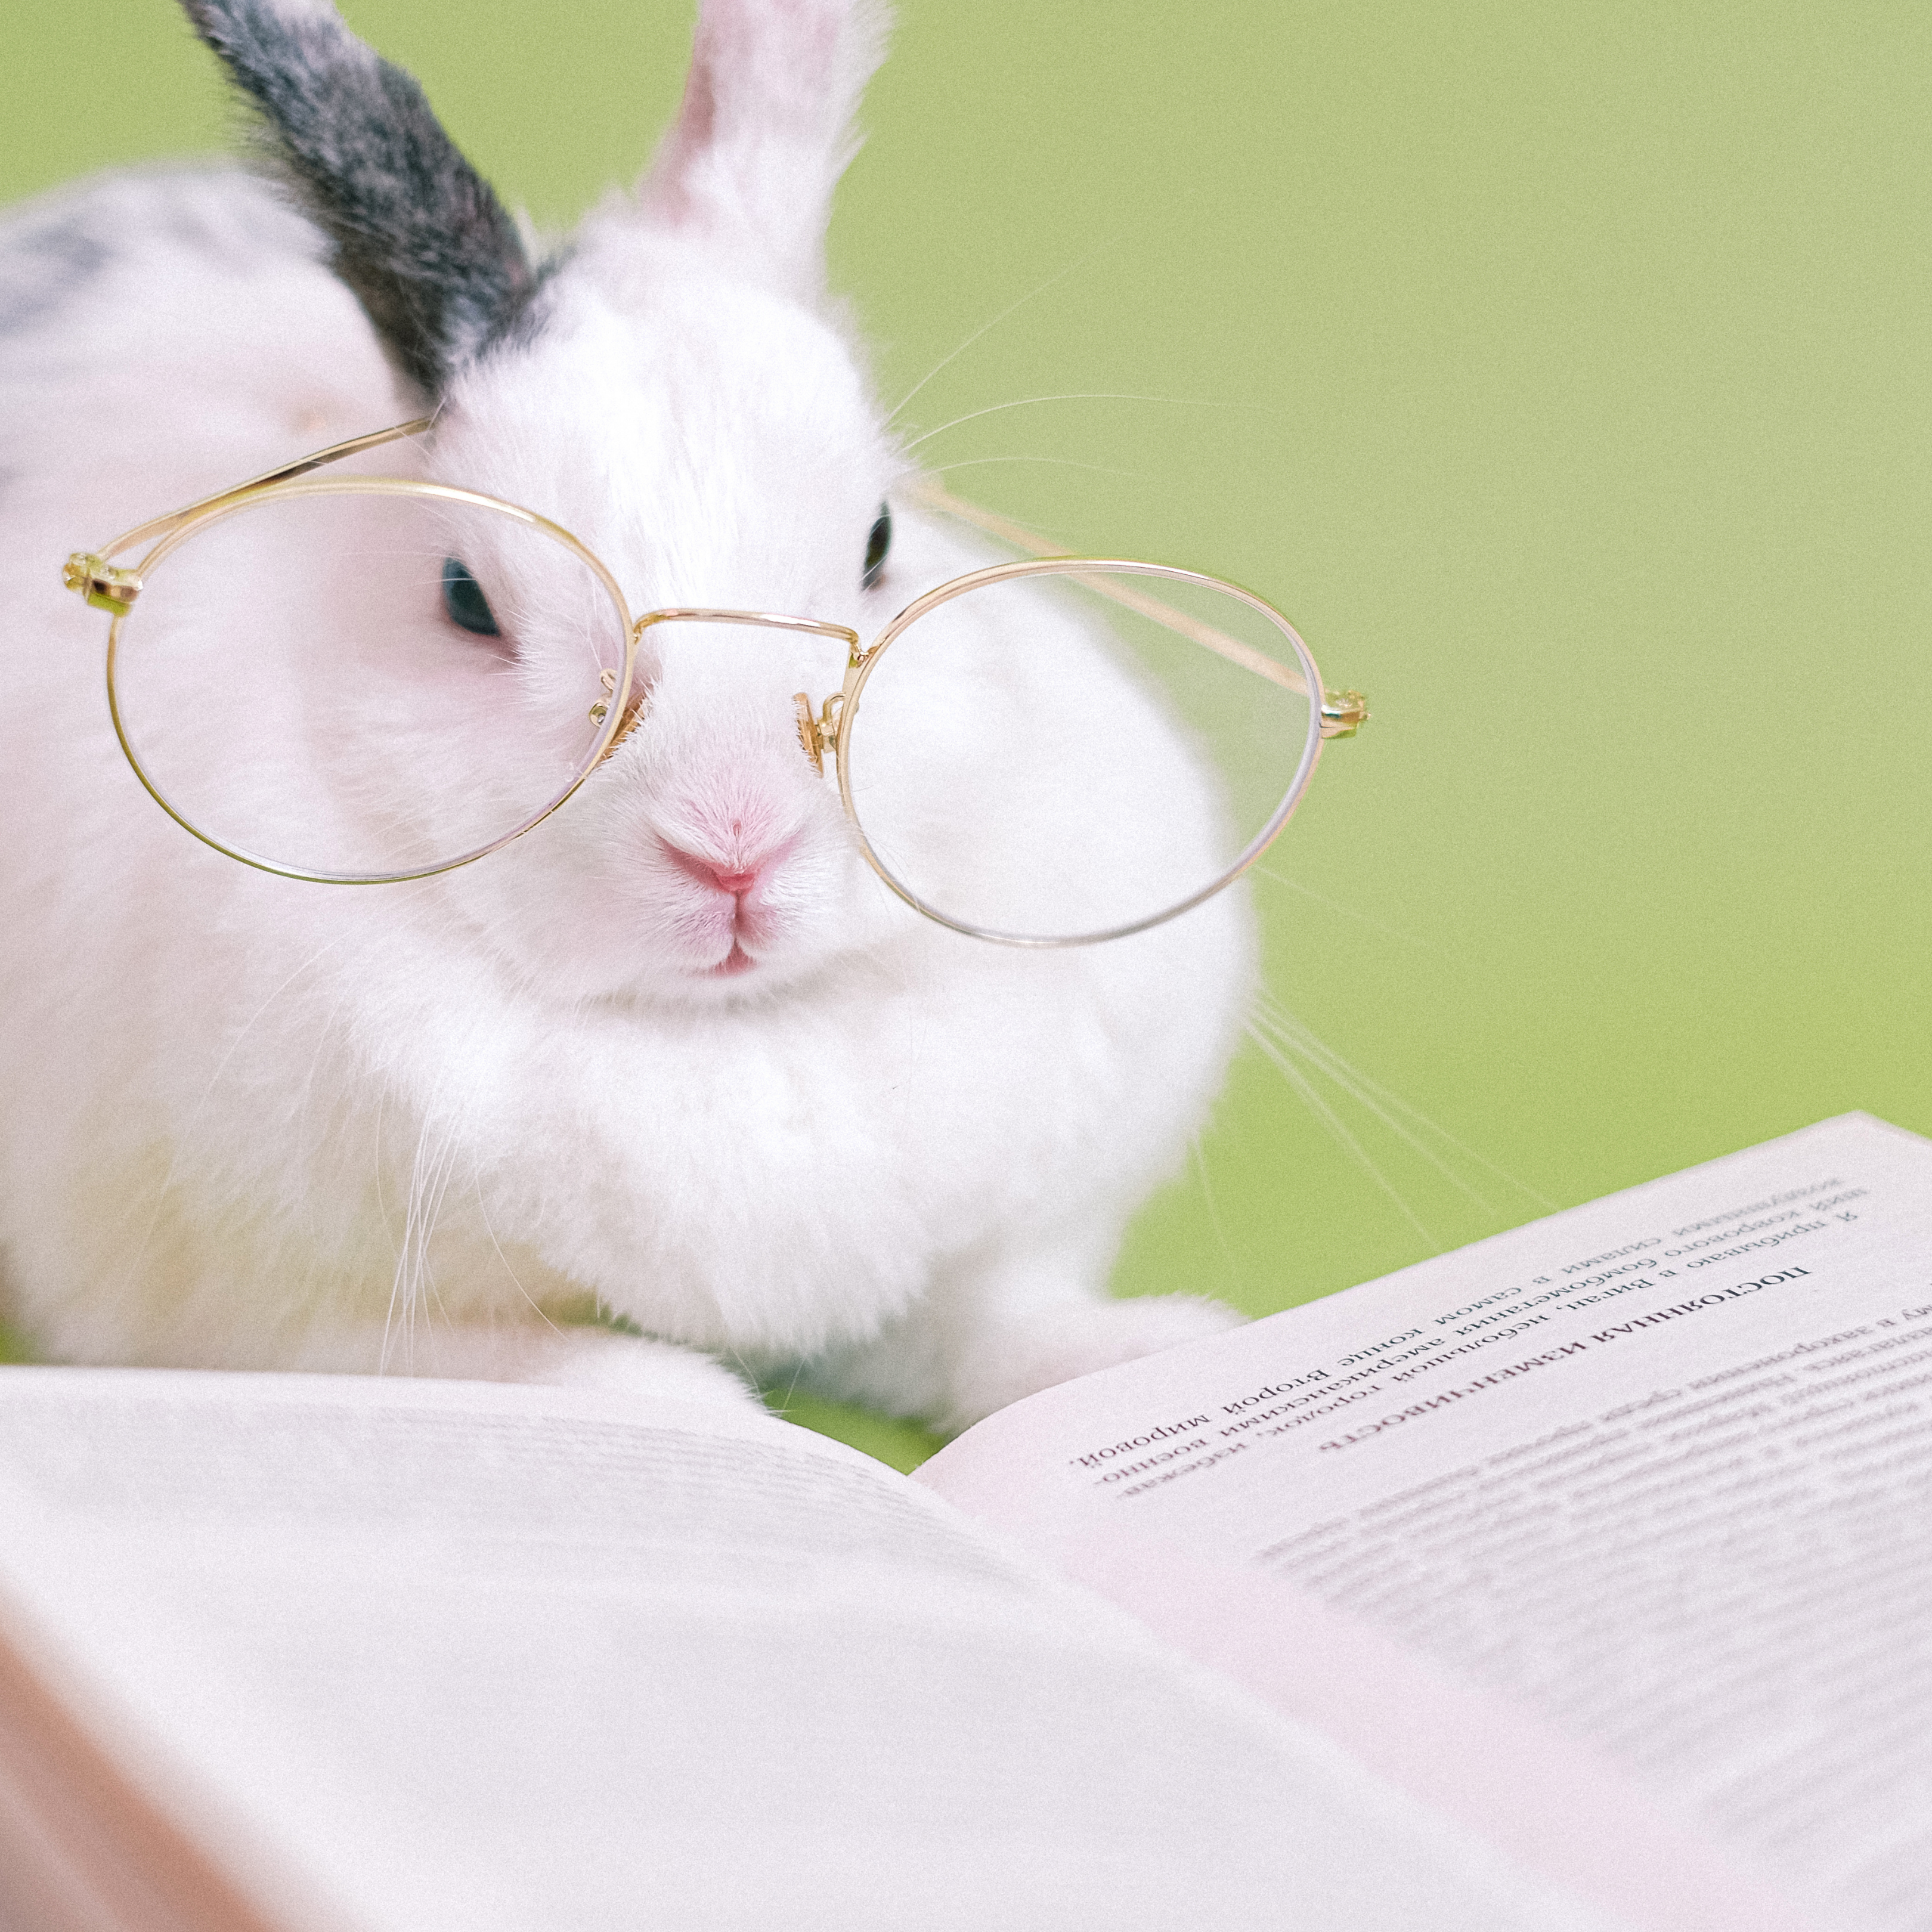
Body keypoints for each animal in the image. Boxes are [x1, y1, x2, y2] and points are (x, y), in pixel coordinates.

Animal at [0, 0, 1255, 1435]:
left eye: (881, 541)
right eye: (464, 598)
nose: (735, 845)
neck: (718, 1038)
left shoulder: (982, 1260)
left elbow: (994, 1330)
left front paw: (1163, 1352)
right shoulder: (244, 1313)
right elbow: (493, 1365)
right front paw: (685, 1407)